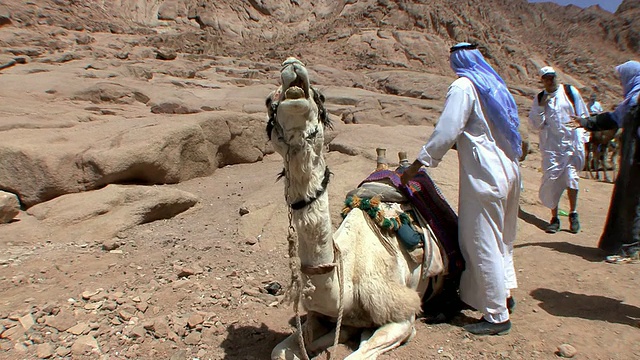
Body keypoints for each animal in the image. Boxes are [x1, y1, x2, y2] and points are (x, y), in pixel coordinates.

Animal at [264, 57, 456, 358]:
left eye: (321, 97)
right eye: (268, 102)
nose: (292, 65)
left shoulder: (402, 316)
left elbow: (360, 351)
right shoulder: (320, 316)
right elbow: (281, 349)